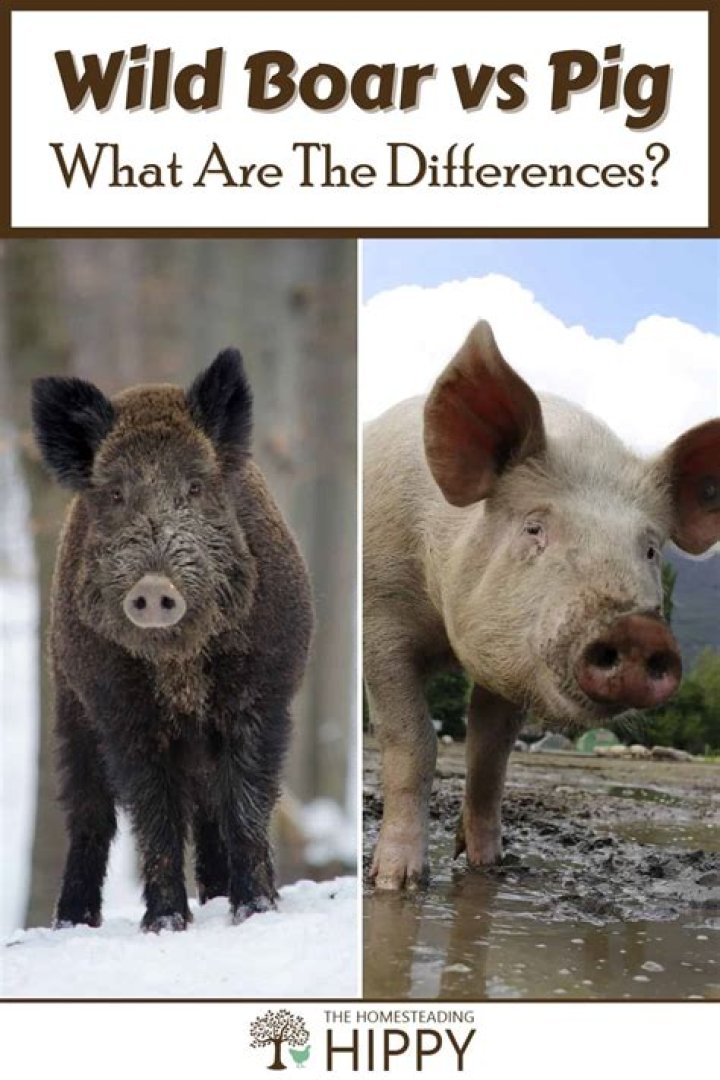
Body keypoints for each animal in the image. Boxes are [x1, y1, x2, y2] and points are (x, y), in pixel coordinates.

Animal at [32, 350, 313, 930]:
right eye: (116, 494)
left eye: (195, 488)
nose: (154, 588)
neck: (179, 666)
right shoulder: (120, 711)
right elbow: (153, 814)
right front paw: (165, 924)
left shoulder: (261, 695)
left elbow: (246, 803)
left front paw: (254, 911)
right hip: (69, 703)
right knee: (89, 811)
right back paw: (72, 921)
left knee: (210, 807)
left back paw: (219, 898)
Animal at [364, 321, 719, 890]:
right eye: (534, 528)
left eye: (649, 549)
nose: (638, 631)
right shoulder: (379, 620)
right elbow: (412, 741)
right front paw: (397, 882)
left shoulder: (511, 658)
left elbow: (489, 756)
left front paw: (489, 867)